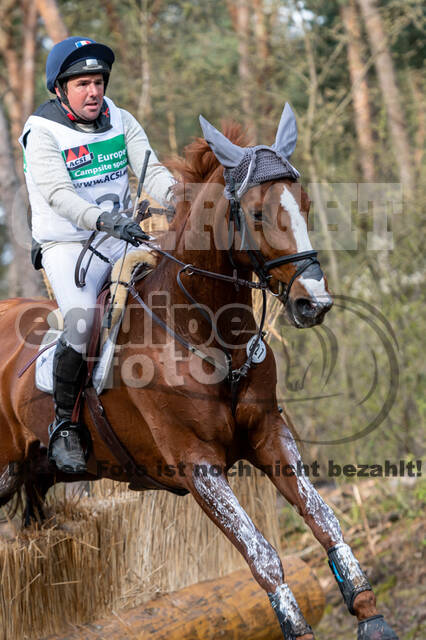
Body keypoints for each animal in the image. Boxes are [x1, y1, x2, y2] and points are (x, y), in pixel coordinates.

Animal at [0, 107, 396, 636]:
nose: (314, 303)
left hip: (37, 473)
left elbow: (324, 518)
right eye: (256, 214)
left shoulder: (270, 435)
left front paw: (370, 615)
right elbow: (261, 554)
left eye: (306, 205)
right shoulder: (197, 465)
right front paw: (297, 626)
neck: (206, 329)